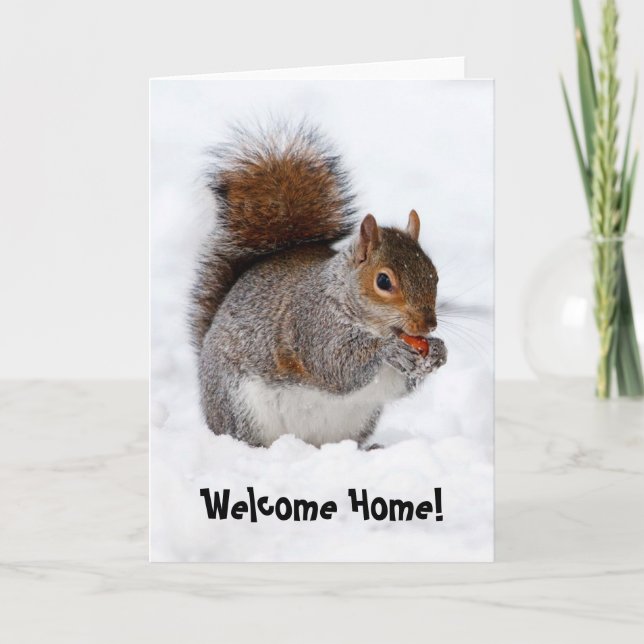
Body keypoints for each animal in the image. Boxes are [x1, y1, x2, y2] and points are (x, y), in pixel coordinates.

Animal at [190, 122, 447, 448]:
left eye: (434, 274)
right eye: (383, 281)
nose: (428, 325)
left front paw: (438, 351)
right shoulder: (313, 324)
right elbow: (336, 364)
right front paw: (388, 350)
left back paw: (369, 449)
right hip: (240, 406)